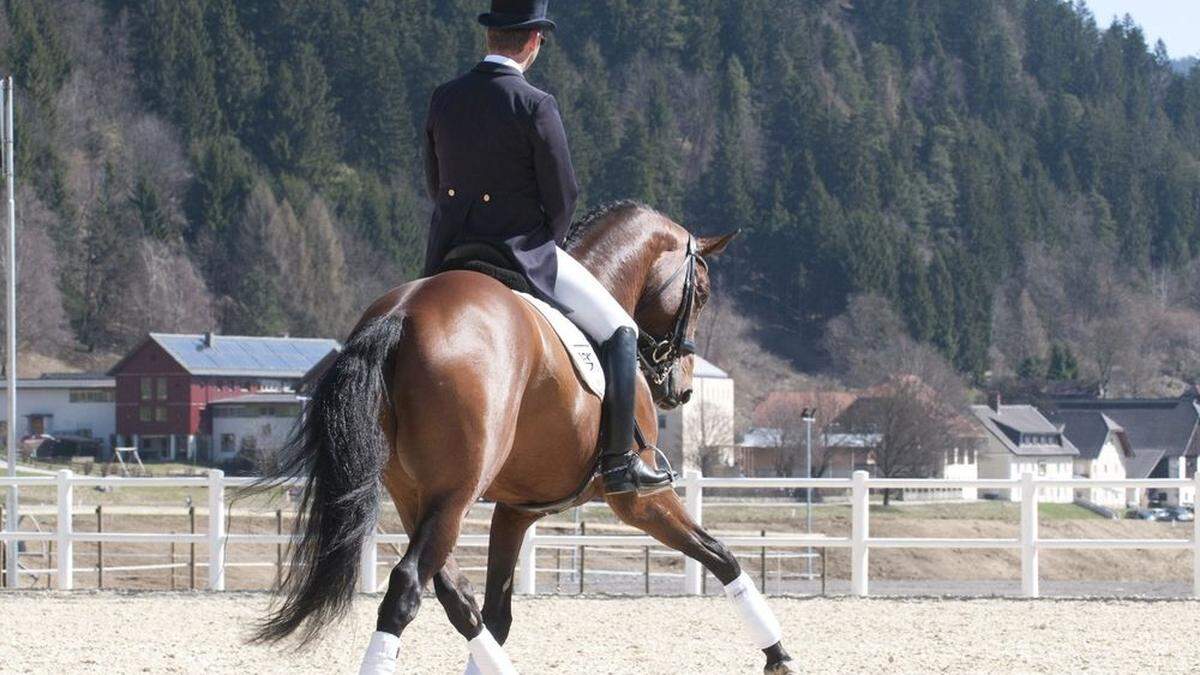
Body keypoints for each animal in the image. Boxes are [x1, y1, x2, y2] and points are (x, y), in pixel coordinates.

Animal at [254, 200, 796, 672]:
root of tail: (401, 314)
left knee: (455, 596)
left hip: (417, 498)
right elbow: (721, 556)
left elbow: (498, 613)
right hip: (455, 495)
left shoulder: (515, 512)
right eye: (700, 292)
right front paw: (778, 654)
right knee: (407, 588)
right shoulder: (639, 500)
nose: (681, 389)